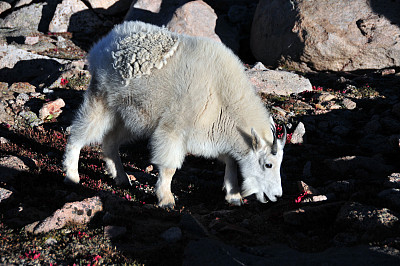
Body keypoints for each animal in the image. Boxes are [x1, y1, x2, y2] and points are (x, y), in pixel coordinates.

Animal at [62, 21, 286, 208]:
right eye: (268, 164)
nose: (276, 196)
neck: (221, 95)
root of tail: (103, 44)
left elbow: (230, 161)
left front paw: (234, 196)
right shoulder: (174, 127)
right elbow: (168, 166)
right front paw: (166, 199)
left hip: (131, 116)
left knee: (110, 141)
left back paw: (122, 178)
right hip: (100, 99)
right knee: (79, 133)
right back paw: (72, 176)